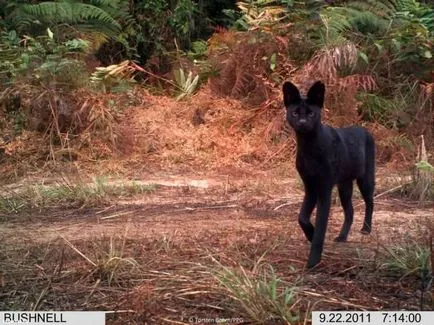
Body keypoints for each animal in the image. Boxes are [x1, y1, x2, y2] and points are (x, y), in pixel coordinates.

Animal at [284, 79, 374, 268]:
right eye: (295, 113)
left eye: (311, 113)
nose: (302, 122)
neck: (309, 147)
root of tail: (365, 130)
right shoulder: (310, 187)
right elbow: (302, 217)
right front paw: (310, 234)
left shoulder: (324, 189)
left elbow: (321, 226)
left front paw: (313, 261)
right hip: (344, 186)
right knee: (350, 211)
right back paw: (342, 236)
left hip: (365, 179)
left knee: (370, 202)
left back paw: (366, 229)